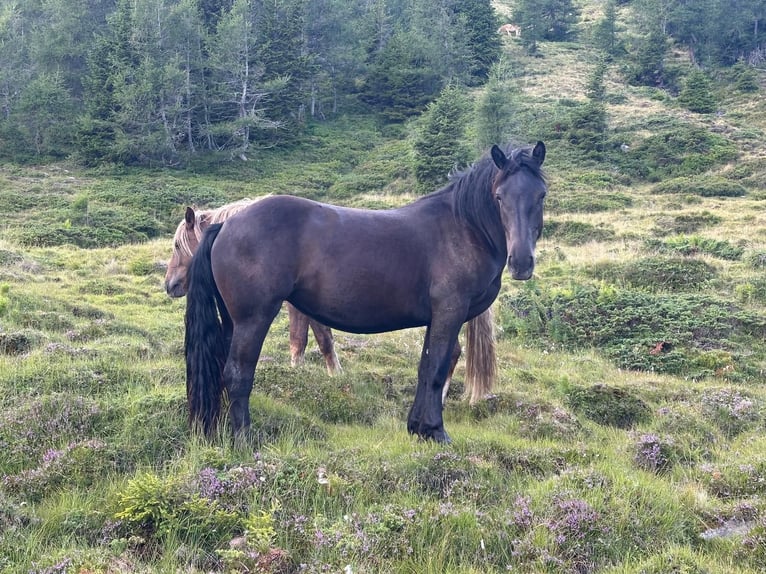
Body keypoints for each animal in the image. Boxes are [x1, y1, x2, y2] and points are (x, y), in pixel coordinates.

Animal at [185, 141, 547, 442]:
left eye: (541, 195)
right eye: (499, 197)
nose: (521, 262)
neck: (463, 228)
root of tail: (226, 225)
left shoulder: (436, 319)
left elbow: (424, 367)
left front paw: (417, 427)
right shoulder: (449, 312)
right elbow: (436, 369)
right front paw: (435, 431)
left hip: (233, 321)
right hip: (253, 319)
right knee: (238, 373)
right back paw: (244, 439)